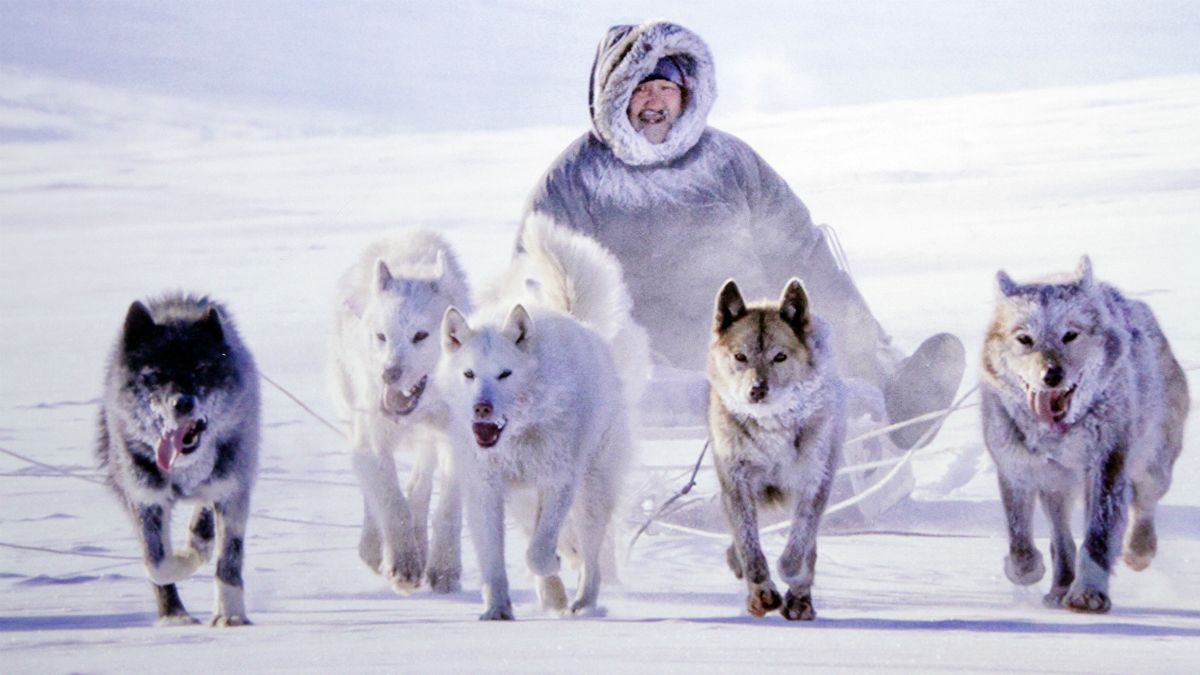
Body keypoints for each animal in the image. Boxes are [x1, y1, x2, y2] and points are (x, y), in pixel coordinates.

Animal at [97, 294, 259, 624]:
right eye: (155, 374)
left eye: (200, 368)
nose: (182, 403)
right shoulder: (145, 497)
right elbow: (157, 564)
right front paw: (183, 565)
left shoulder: (233, 490)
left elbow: (229, 560)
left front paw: (230, 615)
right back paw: (174, 613)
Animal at [336, 229, 475, 588]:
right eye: (381, 336)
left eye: (420, 335)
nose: (389, 374)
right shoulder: (374, 441)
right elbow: (390, 501)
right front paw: (403, 564)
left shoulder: (456, 439)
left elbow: (446, 509)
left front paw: (444, 568)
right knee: (372, 488)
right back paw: (374, 547)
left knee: (419, 486)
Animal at [705, 276, 849, 619]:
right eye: (740, 357)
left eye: (779, 357)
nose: (757, 389)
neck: (771, 426)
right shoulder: (737, 481)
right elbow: (750, 549)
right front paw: (762, 592)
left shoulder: (813, 482)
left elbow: (797, 551)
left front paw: (793, 580)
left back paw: (799, 601)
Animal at [984, 255, 1190, 610]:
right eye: (1025, 339)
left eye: (1070, 335)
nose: (1051, 375)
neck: (1058, 434)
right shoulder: (1017, 470)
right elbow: (1021, 544)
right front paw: (1030, 571)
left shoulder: (1107, 469)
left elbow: (1098, 537)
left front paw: (1089, 593)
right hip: (1056, 489)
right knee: (1061, 538)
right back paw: (1059, 588)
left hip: (1153, 468)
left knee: (1144, 506)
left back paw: (1137, 552)